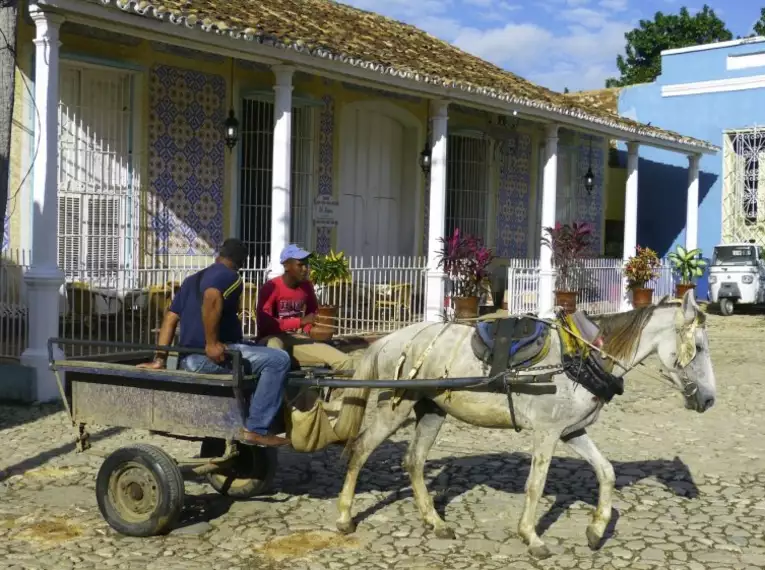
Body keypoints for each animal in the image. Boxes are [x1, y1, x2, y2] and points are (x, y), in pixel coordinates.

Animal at [330, 290, 716, 556]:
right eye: (697, 347)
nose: (710, 400)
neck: (581, 356)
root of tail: (388, 339)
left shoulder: (572, 431)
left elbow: (606, 472)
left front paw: (596, 529)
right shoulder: (547, 433)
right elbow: (536, 485)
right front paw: (531, 536)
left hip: (432, 410)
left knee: (414, 461)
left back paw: (435, 522)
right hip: (395, 407)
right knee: (361, 450)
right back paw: (345, 517)